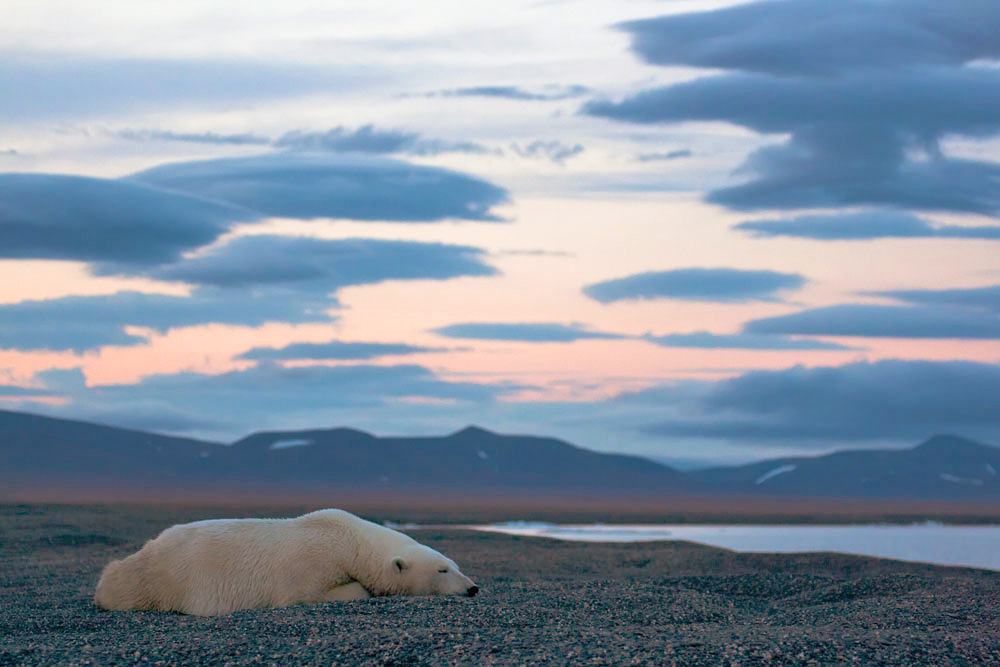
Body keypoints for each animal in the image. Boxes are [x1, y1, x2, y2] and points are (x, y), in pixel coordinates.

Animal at [94, 512, 480, 616]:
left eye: (455, 564)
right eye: (442, 570)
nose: (473, 587)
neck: (352, 540)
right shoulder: (312, 562)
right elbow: (307, 593)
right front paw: (360, 590)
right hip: (162, 579)